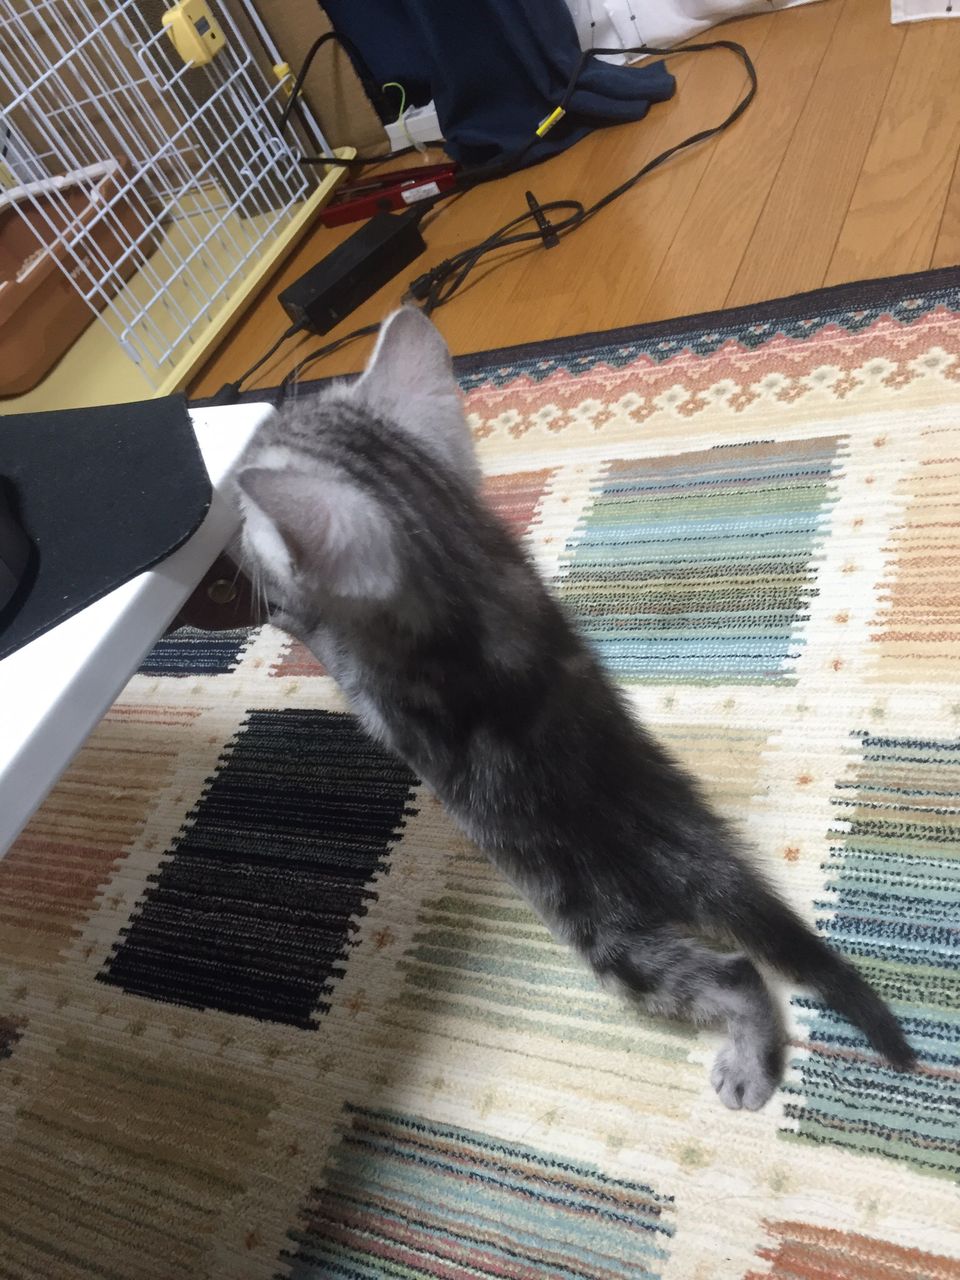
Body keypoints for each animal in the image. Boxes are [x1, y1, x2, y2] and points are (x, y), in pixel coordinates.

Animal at [234, 306, 914, 1109]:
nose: (229, 495)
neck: (460, 560)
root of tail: (685, 855)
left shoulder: (374, 682)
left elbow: (327, 640)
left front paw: (281, 610)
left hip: (607, 935)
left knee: (735, 972)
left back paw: (749, 1063)